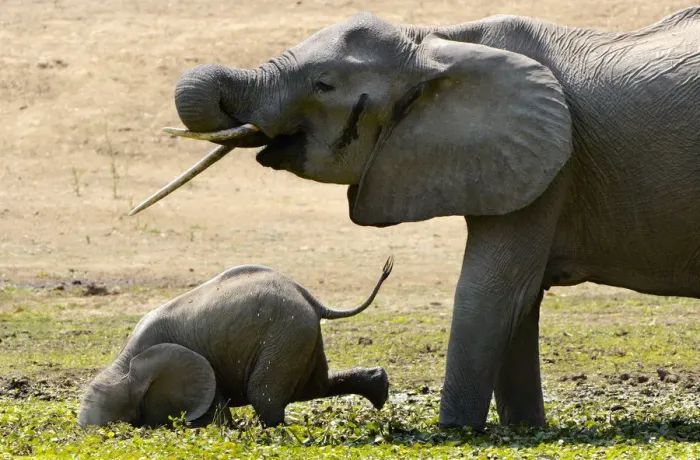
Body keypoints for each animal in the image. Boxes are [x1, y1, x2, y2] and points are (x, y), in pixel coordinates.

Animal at [78, 257, 394, 428]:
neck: (125, 363)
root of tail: (312, 300)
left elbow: (212, 415)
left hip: (285, 334)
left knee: (264, 395)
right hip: (299, 334)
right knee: (313, 386)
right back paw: (379, 390)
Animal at [128, 7, 700, 429]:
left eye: (323, 84)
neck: (435, 40)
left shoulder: (551, 165)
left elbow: (490, 293)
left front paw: (456, 432)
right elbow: (521, 301)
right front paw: (524, 430)